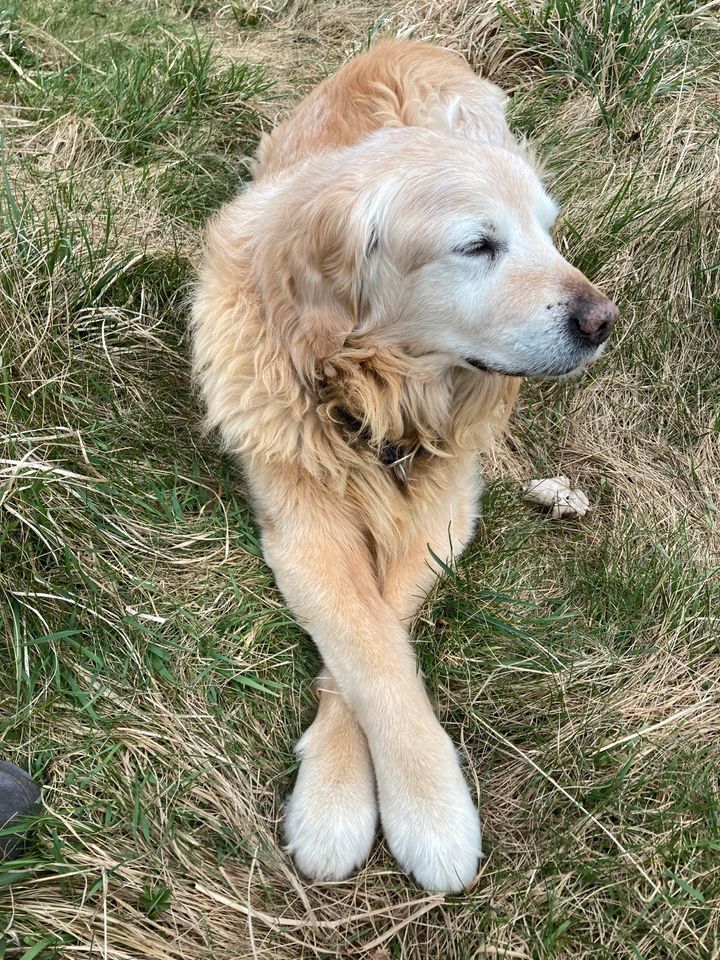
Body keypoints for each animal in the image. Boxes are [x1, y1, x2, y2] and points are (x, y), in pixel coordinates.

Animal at [193, 37, 620, 892]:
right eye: (477, 245)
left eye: (547, 234)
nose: (603, 321)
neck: (375, 391)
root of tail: (409, 40)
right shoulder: (305, 522)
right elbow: (368, 644)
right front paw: (394, 810)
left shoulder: (445, 506)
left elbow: (383, 620)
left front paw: (408, 805)